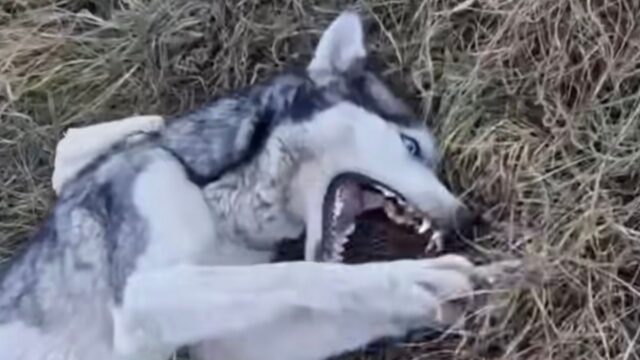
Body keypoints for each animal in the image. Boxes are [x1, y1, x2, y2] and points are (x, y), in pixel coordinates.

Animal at [0, 11, 516, 360]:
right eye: (411, 146)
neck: (220, 209)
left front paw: (482, 286)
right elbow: (302, 273)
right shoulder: (142, 300)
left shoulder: (224, 345)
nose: (468, 220)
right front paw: (416, 276)